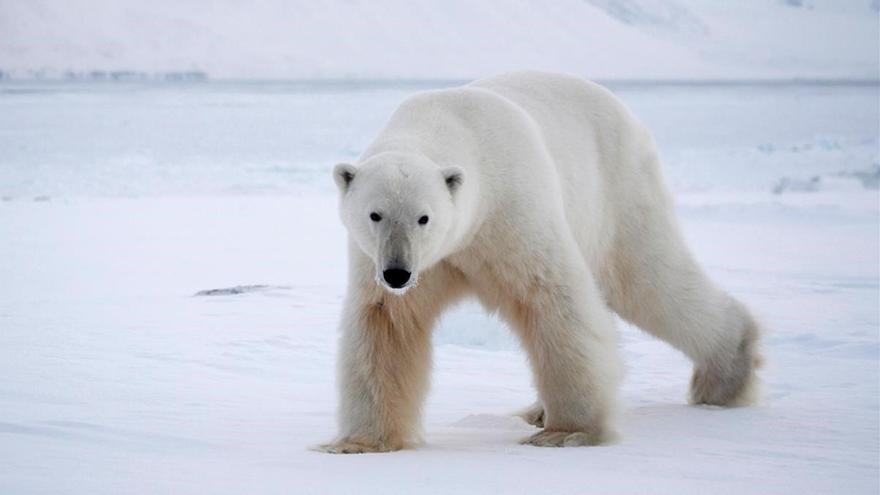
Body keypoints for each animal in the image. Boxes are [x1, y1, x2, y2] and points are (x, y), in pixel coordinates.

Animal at [318, 70, 764, 454]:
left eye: (424, 217)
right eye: (375, 214)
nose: (398, 272)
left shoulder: (509, 211)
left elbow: (552, 299)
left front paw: (567, 432)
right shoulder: (392, 261)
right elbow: (386, 325)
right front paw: (357, 443)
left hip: (618, 189)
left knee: (649, 280)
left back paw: (726, 376)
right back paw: (535, 410)